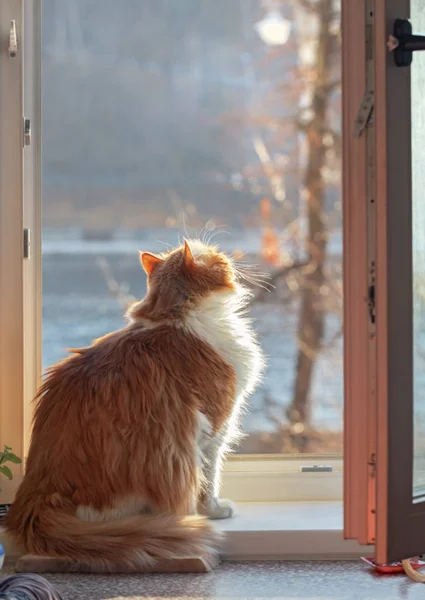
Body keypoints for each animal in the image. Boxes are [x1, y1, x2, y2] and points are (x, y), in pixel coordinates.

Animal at [6, 239, 264, 568]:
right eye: (217, 256)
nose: (229, 257)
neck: (176, 318)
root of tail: (35, 495)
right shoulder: (215, 426)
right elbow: (209, 478)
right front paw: (215, 510)